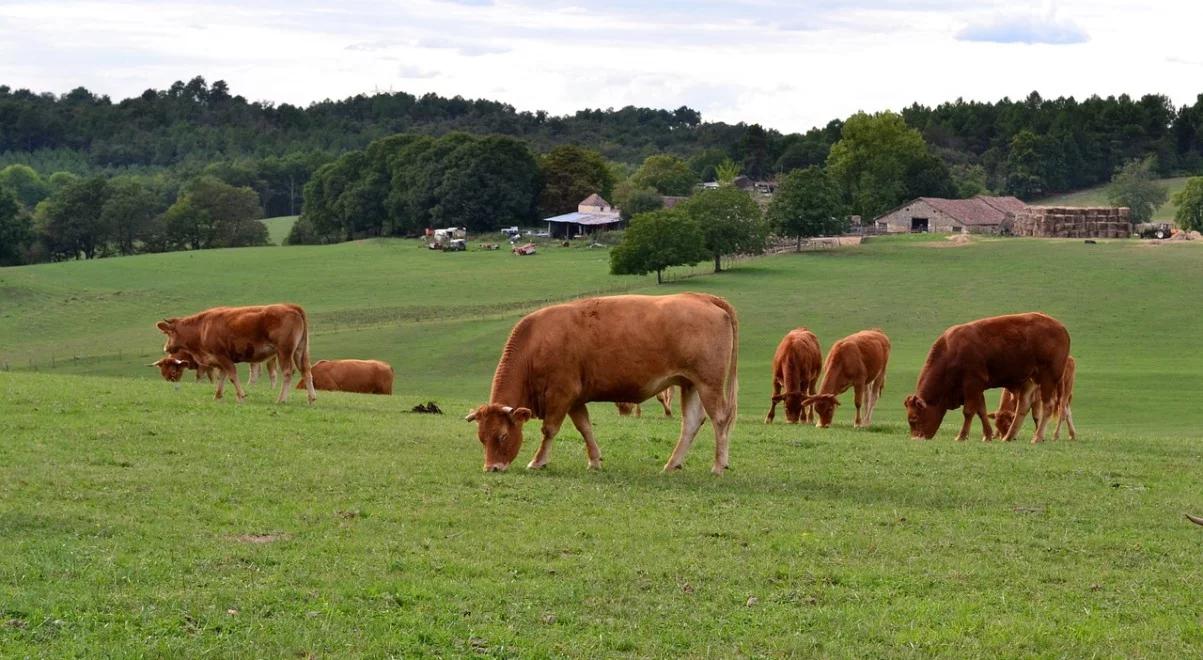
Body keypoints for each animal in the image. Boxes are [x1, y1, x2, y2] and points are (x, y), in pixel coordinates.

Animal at [156, 302, 315, 401]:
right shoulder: (219, 360)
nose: (166, 348)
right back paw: (311, 398)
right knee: (306, 371)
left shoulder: (222, 356)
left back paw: (281, 399)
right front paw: (217, 396)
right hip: (300, 351)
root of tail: (291, 306)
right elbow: (222, 377)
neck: (202, 328)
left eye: (168, 333)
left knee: (288, 372)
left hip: (284, 352)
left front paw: (241, 395)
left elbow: (232, 375)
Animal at [464, 293, 736, 473]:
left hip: (708, 384)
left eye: (501, 436)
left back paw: (718, 465)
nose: (491, 468)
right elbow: (585, 428)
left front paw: (538, 461)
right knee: (691, 423)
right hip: (689, 384)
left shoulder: (560, 394)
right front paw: (594, 460)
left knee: (720, 419)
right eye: (481, 437)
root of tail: (703, 298)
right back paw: (672, 464)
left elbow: (549, 430)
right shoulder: (575, 399)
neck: (536, 344)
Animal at [904, 314, 1073, 442]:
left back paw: (1037, 437)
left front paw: (962, 436)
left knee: (1048, 405)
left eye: (914, 418)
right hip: (1028, 381)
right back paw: (1009, 437)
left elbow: (969, 411)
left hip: (1048, 378)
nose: (916, 439)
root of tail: (1061, 327)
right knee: (1023, 406)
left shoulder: (972, 383)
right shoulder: (976, 388)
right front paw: (988, 435)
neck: (952, 351)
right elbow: (981, 411)